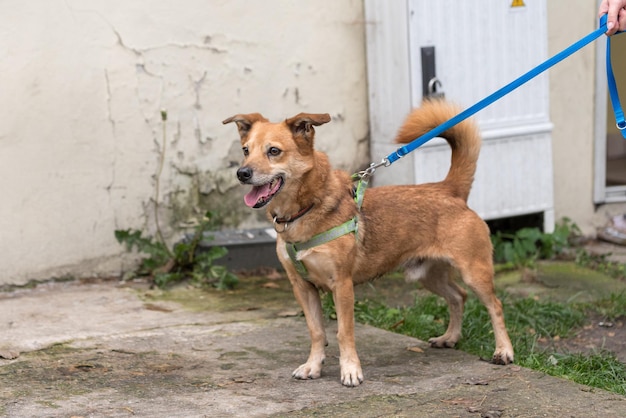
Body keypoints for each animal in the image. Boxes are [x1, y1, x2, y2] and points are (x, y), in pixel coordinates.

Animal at [224, 99, 512, 386]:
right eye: (245, 150)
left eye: (274, 151)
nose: (242, 173)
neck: (304, 209)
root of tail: (448, 189)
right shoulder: (302, 287)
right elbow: (316, 331)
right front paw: (313, 366)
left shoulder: (342, 285)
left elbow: (343, 332)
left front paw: (350, 370)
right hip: (428, 275)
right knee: (458, 296)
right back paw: (450, 337)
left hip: (473, 272)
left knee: (494, 305)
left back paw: (504, 351)